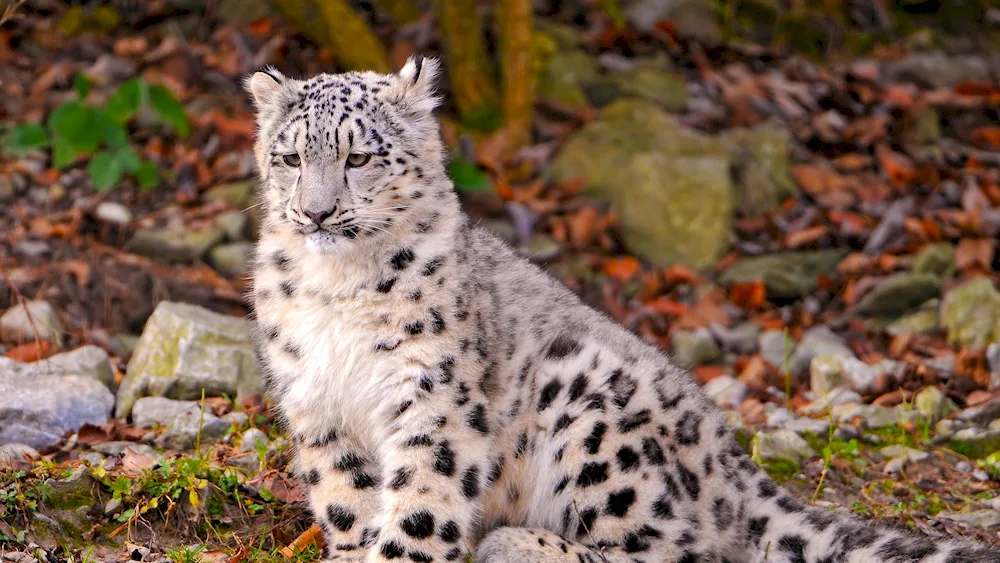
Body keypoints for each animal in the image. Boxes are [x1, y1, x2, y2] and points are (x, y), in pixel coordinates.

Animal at [244, 58, 1000, 563]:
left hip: (591, 413)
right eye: (289, 157)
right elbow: (347, 500)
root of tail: (728, 456)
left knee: (682, 550)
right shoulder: (317, 401)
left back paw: (518, 543)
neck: (336, 288)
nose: (316, 211)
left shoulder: (432, 395)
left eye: (358, 157)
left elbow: (424, 501)